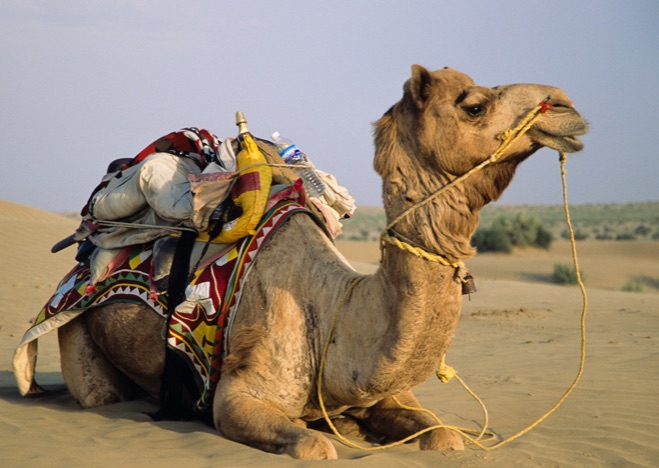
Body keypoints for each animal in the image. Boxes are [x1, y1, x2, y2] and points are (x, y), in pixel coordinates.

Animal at [38, 66, 588, 459]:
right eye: (473, 105)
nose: (566, 105)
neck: (332, 315)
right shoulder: (235, 396)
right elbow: (314, 446)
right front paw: (328, 429)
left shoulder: (387, 393)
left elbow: (445, 435)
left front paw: (358, 424)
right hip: (79, 339)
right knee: (98, 394)